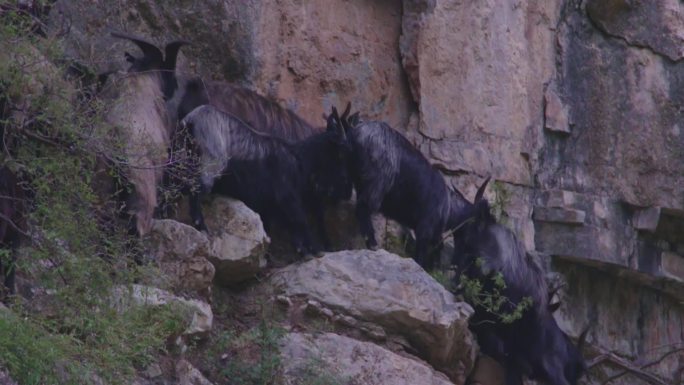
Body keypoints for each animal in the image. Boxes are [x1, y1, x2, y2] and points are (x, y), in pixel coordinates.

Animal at [179, 105, 350, 255]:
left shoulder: (269, 206)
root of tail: (191, 120)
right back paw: (201, 226)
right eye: (342, 150)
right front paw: (314, 249)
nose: (347, 191)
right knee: (197, 189)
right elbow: (301, 221)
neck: (298, 158)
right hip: (212, 165)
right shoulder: (287, 197)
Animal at [338, 103, 476, 268]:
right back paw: (372, 244)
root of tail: (356, 134)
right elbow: (422, 254)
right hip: (376, 184)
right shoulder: (425, 228)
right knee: (363, 207)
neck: (448, 206)